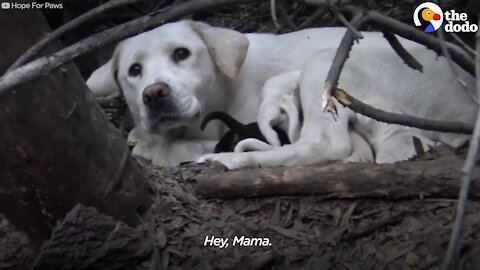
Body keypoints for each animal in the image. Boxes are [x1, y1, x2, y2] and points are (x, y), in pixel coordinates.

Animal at [87, 20, 356, 167]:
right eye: (134, 70)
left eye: (181, 53)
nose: (153, 94)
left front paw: (151, 147)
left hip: (322, 66)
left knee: (325, 144)